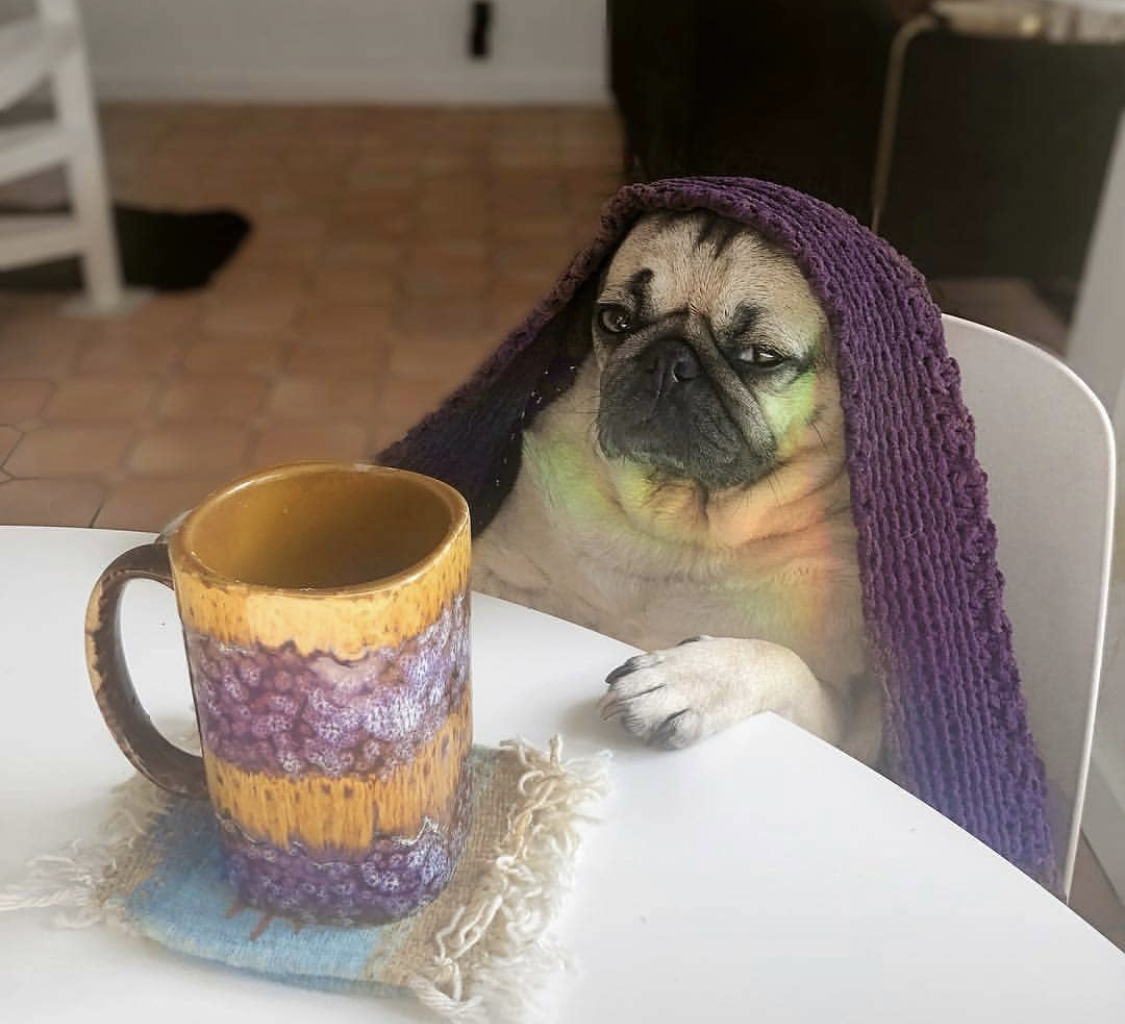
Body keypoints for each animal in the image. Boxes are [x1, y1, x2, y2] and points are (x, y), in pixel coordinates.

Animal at [470, 212, 882, 765]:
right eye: (616, 321)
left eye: (761, 356)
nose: (668, 362)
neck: (677, 526)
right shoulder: (497, 570)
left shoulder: (843, 720)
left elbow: (782, 661)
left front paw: (688, 678)